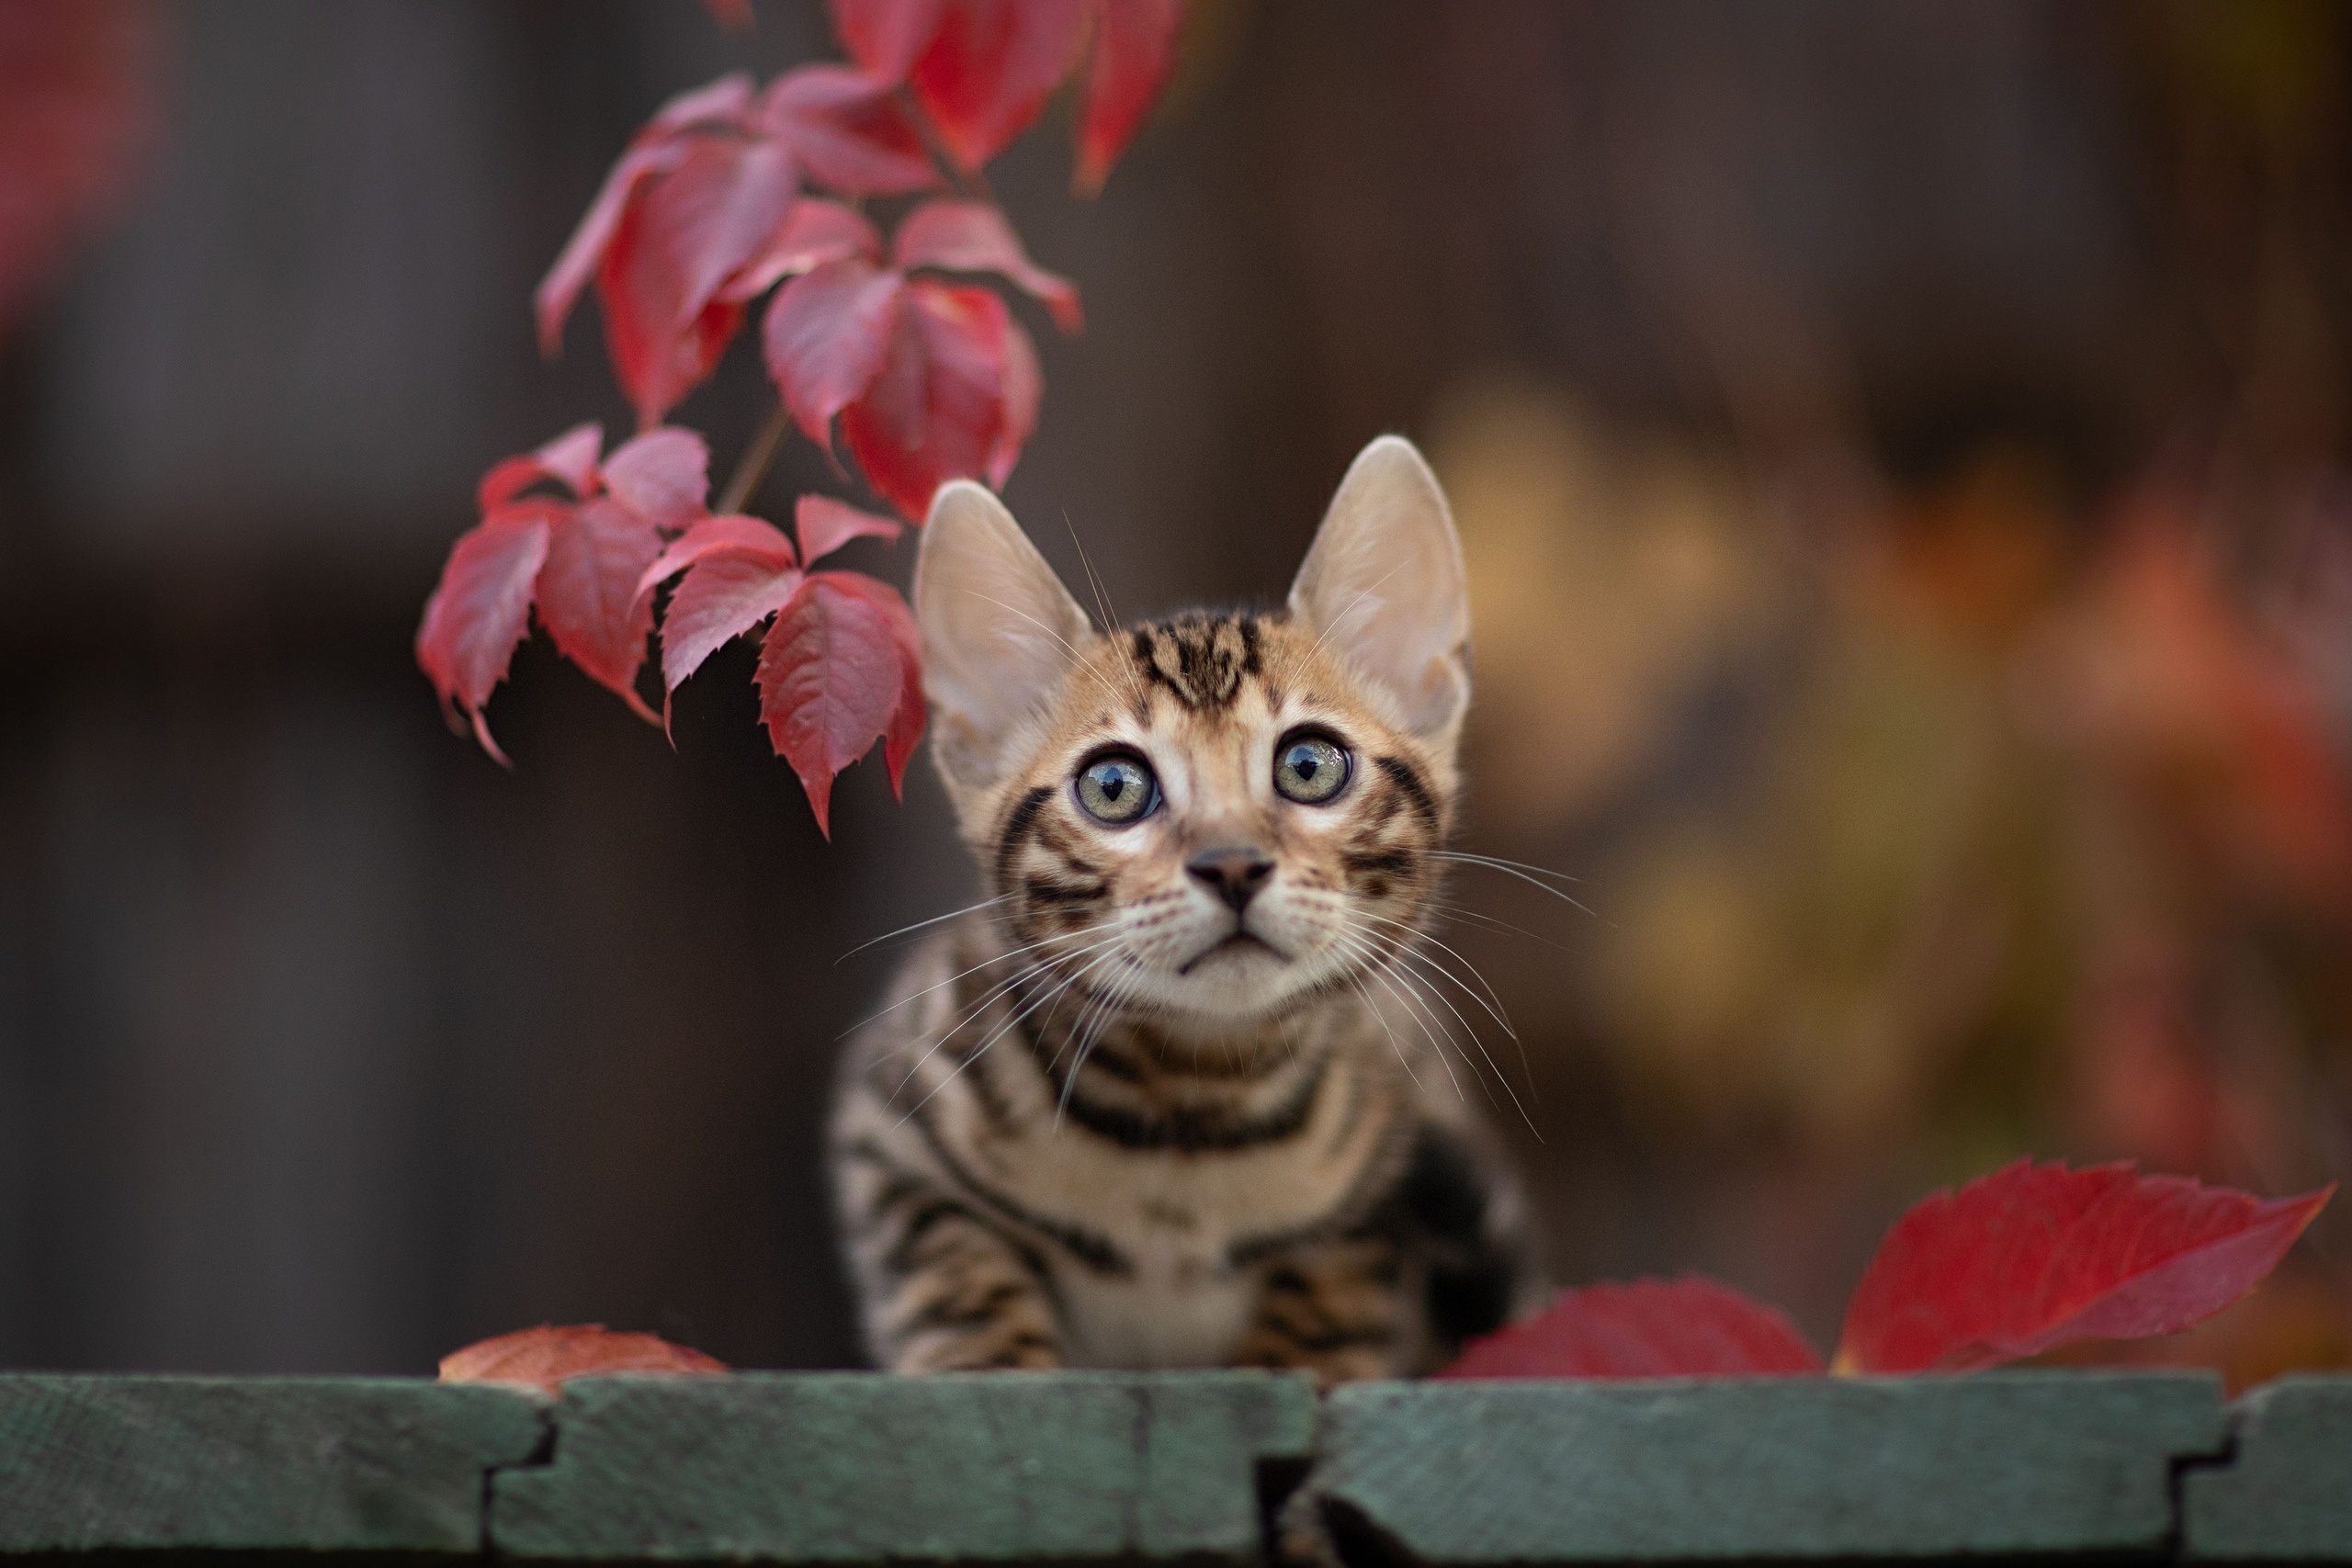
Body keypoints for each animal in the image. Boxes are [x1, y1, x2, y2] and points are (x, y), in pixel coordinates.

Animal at [828, 434, 1543, 1382]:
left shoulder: (1398, 1152)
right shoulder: (891, 1134)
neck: (1191, 1113)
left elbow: (1331, 1299)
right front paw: (985, 1369)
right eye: (1114, 786)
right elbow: (955, 1270)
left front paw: (1289, 1365)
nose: (1231, 863)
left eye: (1309, 766)